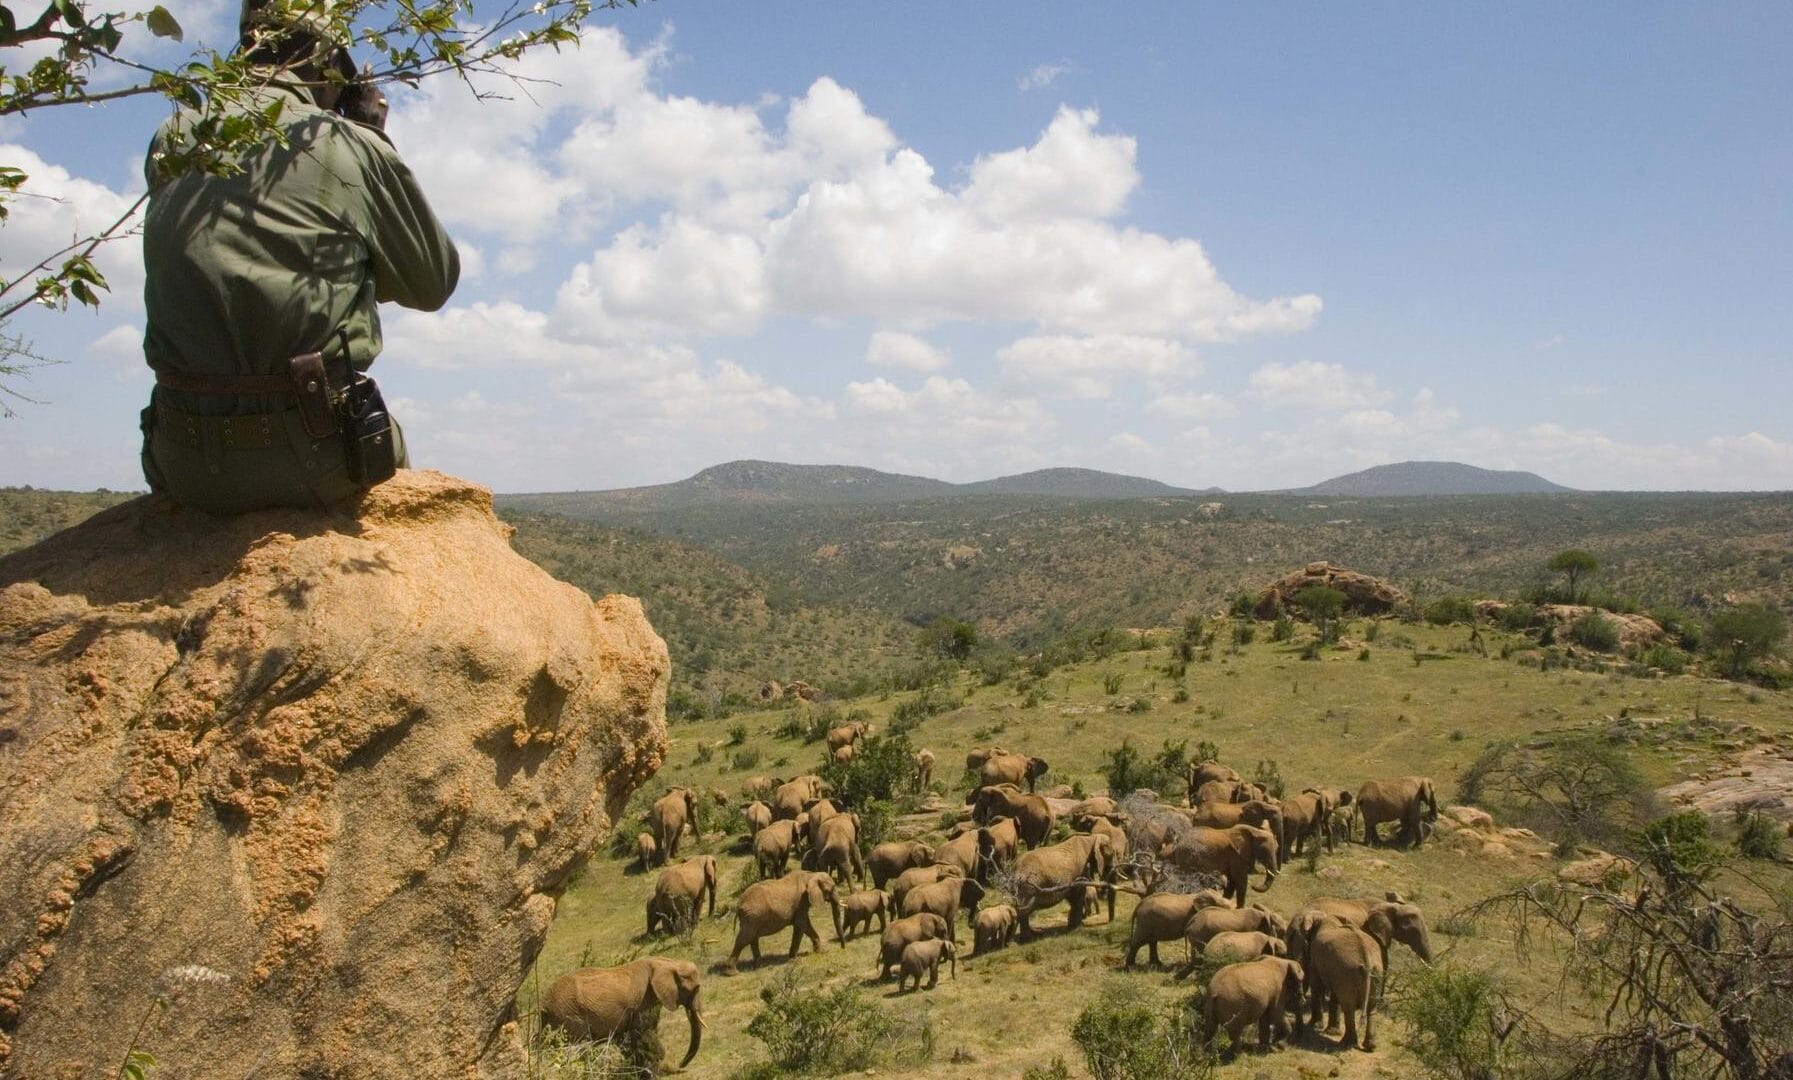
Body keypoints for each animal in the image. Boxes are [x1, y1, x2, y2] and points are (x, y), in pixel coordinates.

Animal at [540, 957, 704, 1069]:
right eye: (695, 989)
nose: (680, 1065)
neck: (666, 962)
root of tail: (543, 1005)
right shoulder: (643, 1002)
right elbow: (643, 1032)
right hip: (569, 1015)